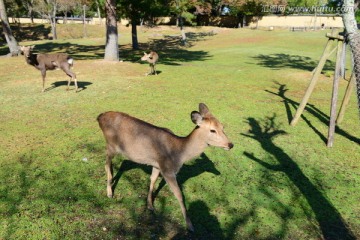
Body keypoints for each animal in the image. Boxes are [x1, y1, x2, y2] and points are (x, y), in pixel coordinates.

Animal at [97, 102, 235, 231]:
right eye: (212, 130)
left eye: (222, 127)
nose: (230, 144)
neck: (179, 155)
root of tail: (100, 117)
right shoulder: (168, 170)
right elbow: (179, 195)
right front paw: (190, 225)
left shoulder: (157, 164)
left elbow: (152, 180)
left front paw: (150, 206)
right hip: (110, 145)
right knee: (106, 163)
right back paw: (109, 192)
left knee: (120, 163)